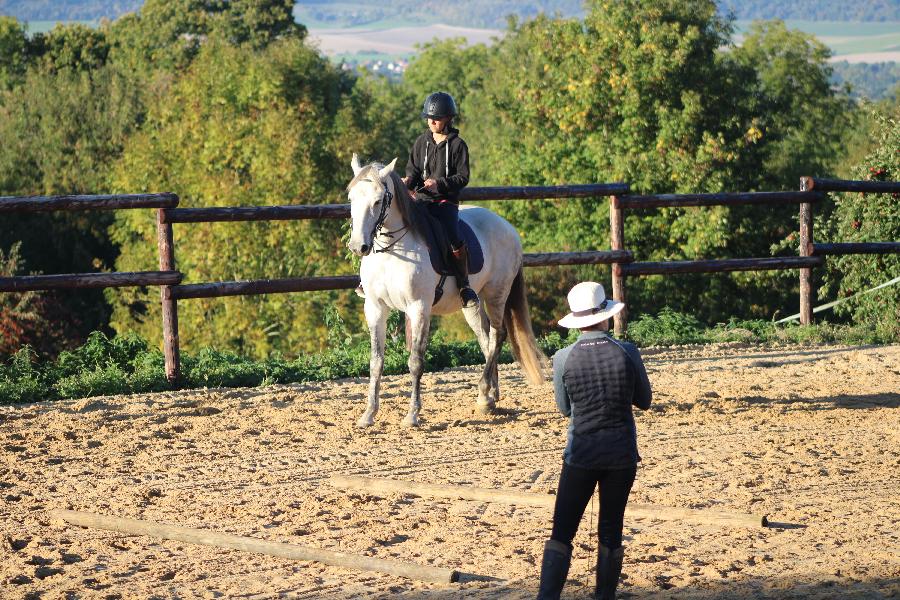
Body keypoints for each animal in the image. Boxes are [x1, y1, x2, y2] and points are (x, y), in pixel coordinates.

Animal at [348, 155, 544, 426]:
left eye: (378, 200)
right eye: (351, 198)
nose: (359, 246)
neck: (392, 250)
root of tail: (508, 227)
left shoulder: (419, 308)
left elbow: (416, 361)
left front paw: (412, 415)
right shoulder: (375, 308)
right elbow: (376, 362)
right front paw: (368, 415)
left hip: (496, 293)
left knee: (498, 335)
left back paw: (484, 395)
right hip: (471, 303)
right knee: (486, 338)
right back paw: (489, 396)